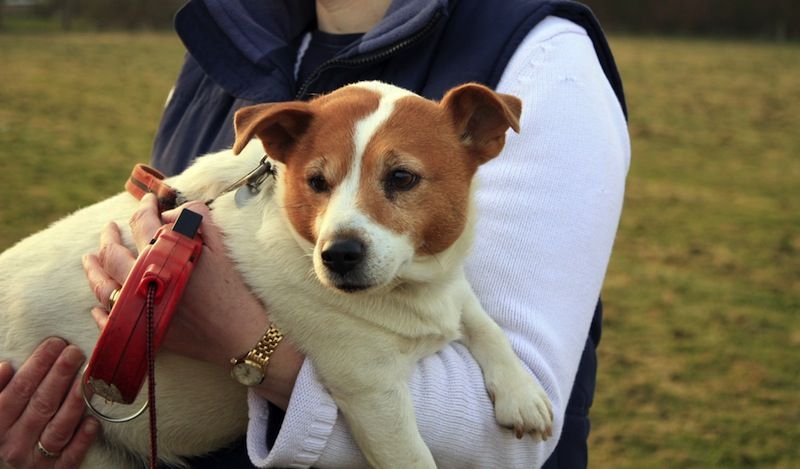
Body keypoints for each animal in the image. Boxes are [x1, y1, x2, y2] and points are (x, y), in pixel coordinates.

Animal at [0, 82, 552, 466]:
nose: (338, 255)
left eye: (402, 177)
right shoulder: (372, 394)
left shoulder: (449, 289)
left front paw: (521, 392)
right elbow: (413, 457)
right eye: (316, 181)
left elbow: (484, 323)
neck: (404, 293)